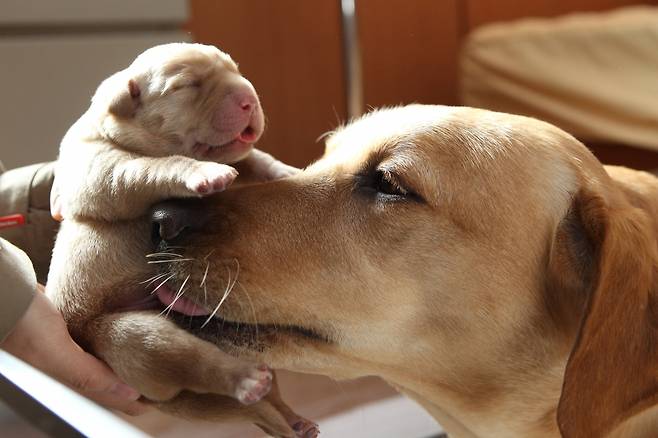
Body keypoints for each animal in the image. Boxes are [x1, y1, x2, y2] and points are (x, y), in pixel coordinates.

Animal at [47, 42, 314, 436]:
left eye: (236, 69)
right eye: (187, 85)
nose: (249, 98)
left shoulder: (245, 160)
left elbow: (258, 159)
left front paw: (290, 172)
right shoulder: (102, 168)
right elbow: (155, 166)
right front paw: (204, 173)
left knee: (264, 396)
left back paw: (292, 418)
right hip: (127, 337)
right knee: (188, 358)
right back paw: (247, 381)